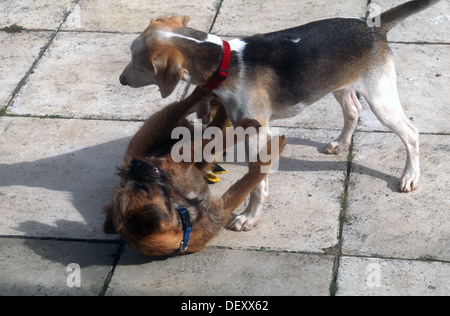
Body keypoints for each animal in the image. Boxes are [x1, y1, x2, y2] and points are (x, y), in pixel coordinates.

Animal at [119, 1, 440, 231]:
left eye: (139, 64)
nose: (121, 80)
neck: (223, 62)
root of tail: (372, 27)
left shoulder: (257, 134)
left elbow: (257, 184)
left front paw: (249, 217)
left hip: (381, 100)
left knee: (410, 133)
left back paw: (410, 177)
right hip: (339, 86)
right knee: (353, 111)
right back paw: (340, 143)